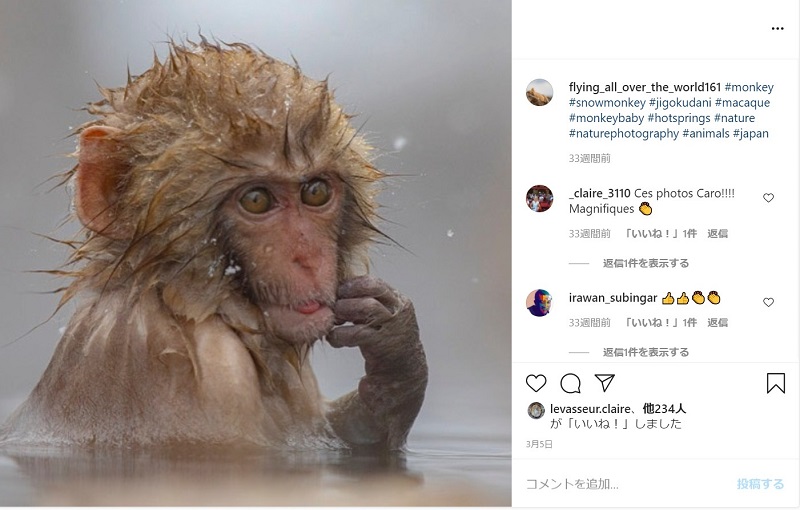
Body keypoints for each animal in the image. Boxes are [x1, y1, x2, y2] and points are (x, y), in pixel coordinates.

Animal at [0, 40, 427, 450]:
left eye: (316, 192)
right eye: (256, 200)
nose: (308, 258)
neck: (175, 295)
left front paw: (395, 348)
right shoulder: (212, 371)